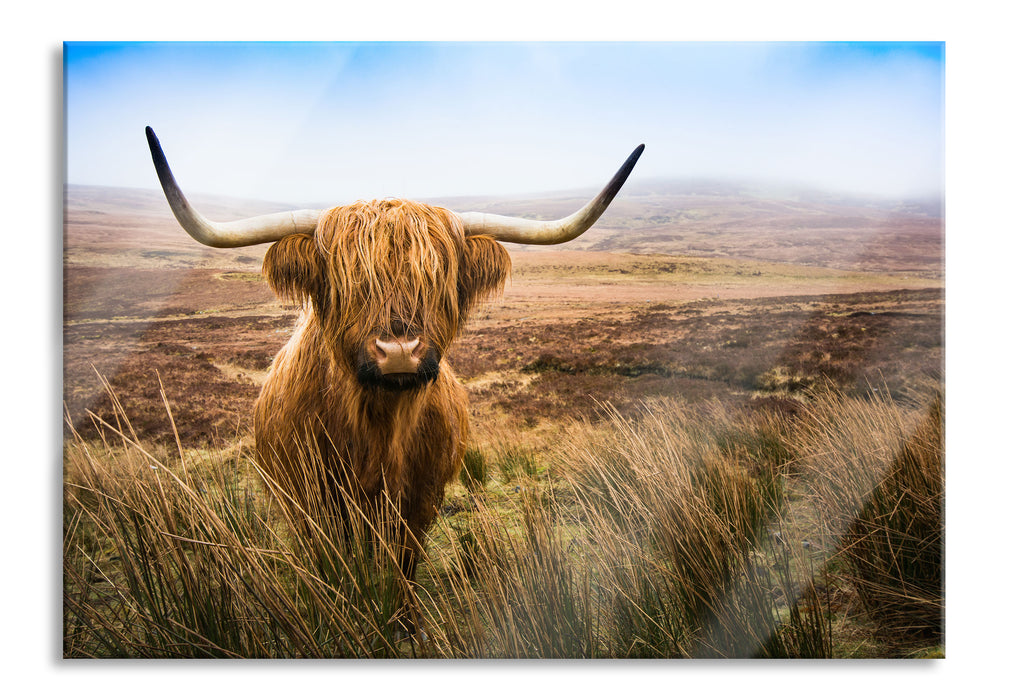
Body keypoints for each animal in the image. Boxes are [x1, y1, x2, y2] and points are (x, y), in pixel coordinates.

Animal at [146, 126, 641, 597]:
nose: (400, 351)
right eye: (347, 280)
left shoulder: (419, 503)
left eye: (438, 277)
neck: (377, 430)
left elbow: (402, 570)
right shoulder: (311, 504)